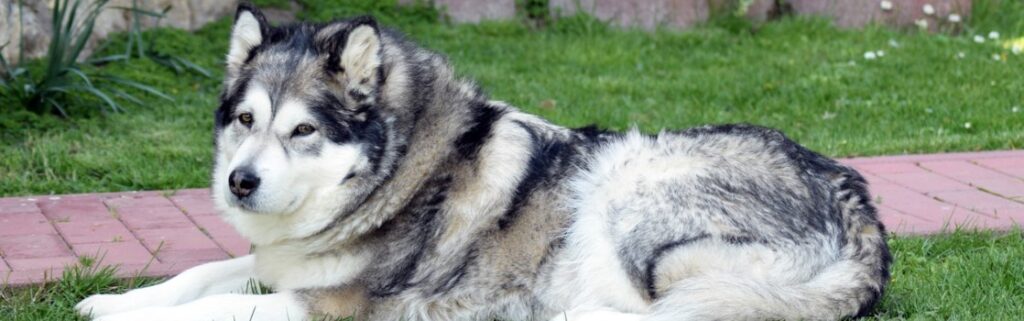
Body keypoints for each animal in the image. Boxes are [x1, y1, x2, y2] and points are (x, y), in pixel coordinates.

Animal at [74, 3, 888, 319]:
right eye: (246, 120)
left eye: (303, 130)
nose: (240, 182)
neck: (394, 178)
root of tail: (860, 206)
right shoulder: (281, 261)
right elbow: (198, 274)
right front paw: (116, 298)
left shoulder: (336, 304)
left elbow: (215, 305)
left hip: (627, 187)